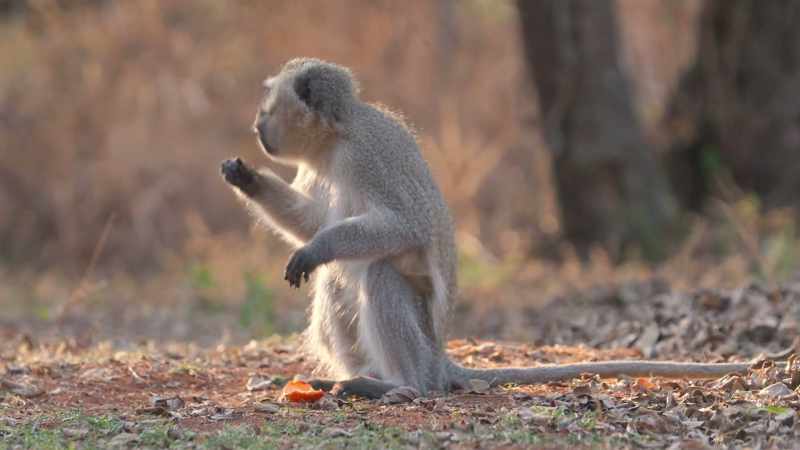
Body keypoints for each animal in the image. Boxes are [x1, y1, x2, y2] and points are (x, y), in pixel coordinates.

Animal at [221, 58, 750, 400]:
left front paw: (318, 247)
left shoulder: (367, 157)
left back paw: (404, 385)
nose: (255, 126)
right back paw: (354, 378)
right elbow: (311, 219)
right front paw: (247, 179)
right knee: (338, 283)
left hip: (424, 344)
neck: (335, 139)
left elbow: (402, 227)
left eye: (268, 109)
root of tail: (439, 360)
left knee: (378, 274)